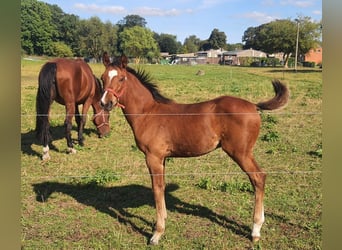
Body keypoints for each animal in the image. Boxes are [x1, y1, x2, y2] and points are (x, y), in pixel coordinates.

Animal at [99, 55, 288, 245]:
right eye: (102, 78)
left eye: (121, 78)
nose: (105, 103)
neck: (148, 113)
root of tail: (253, 105)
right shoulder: (163, 158)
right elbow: (162, 187)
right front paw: (163, 220)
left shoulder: (153, 157)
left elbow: (156, 189)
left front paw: (157, 233)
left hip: (241, 153)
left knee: (258, 178)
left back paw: (255, 230)